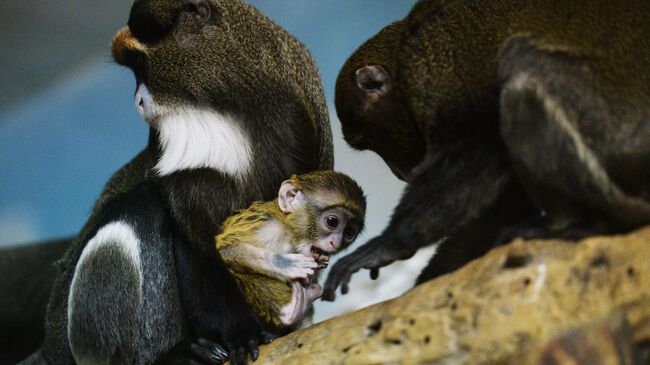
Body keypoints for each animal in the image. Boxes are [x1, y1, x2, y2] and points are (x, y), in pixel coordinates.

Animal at [19, 0, 330, 364]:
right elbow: (194, 243)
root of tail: (49, 348)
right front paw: (243, 334)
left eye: (140, 64)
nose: (138, 101)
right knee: (141, 204)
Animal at [215, 170, 362, 330]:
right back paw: (292, 312)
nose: (335, 243)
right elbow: (226, 249)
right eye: (332, 222)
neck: (289, 231)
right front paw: (287, 264)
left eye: (349, 232)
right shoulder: (267, 226)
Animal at [324, 0, 650, 298]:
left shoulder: (432, 70)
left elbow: (478, 151)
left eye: (370, 139)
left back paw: (582, 224)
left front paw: (389, 244)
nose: (398, 171)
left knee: (520, 66)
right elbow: (507, 197)